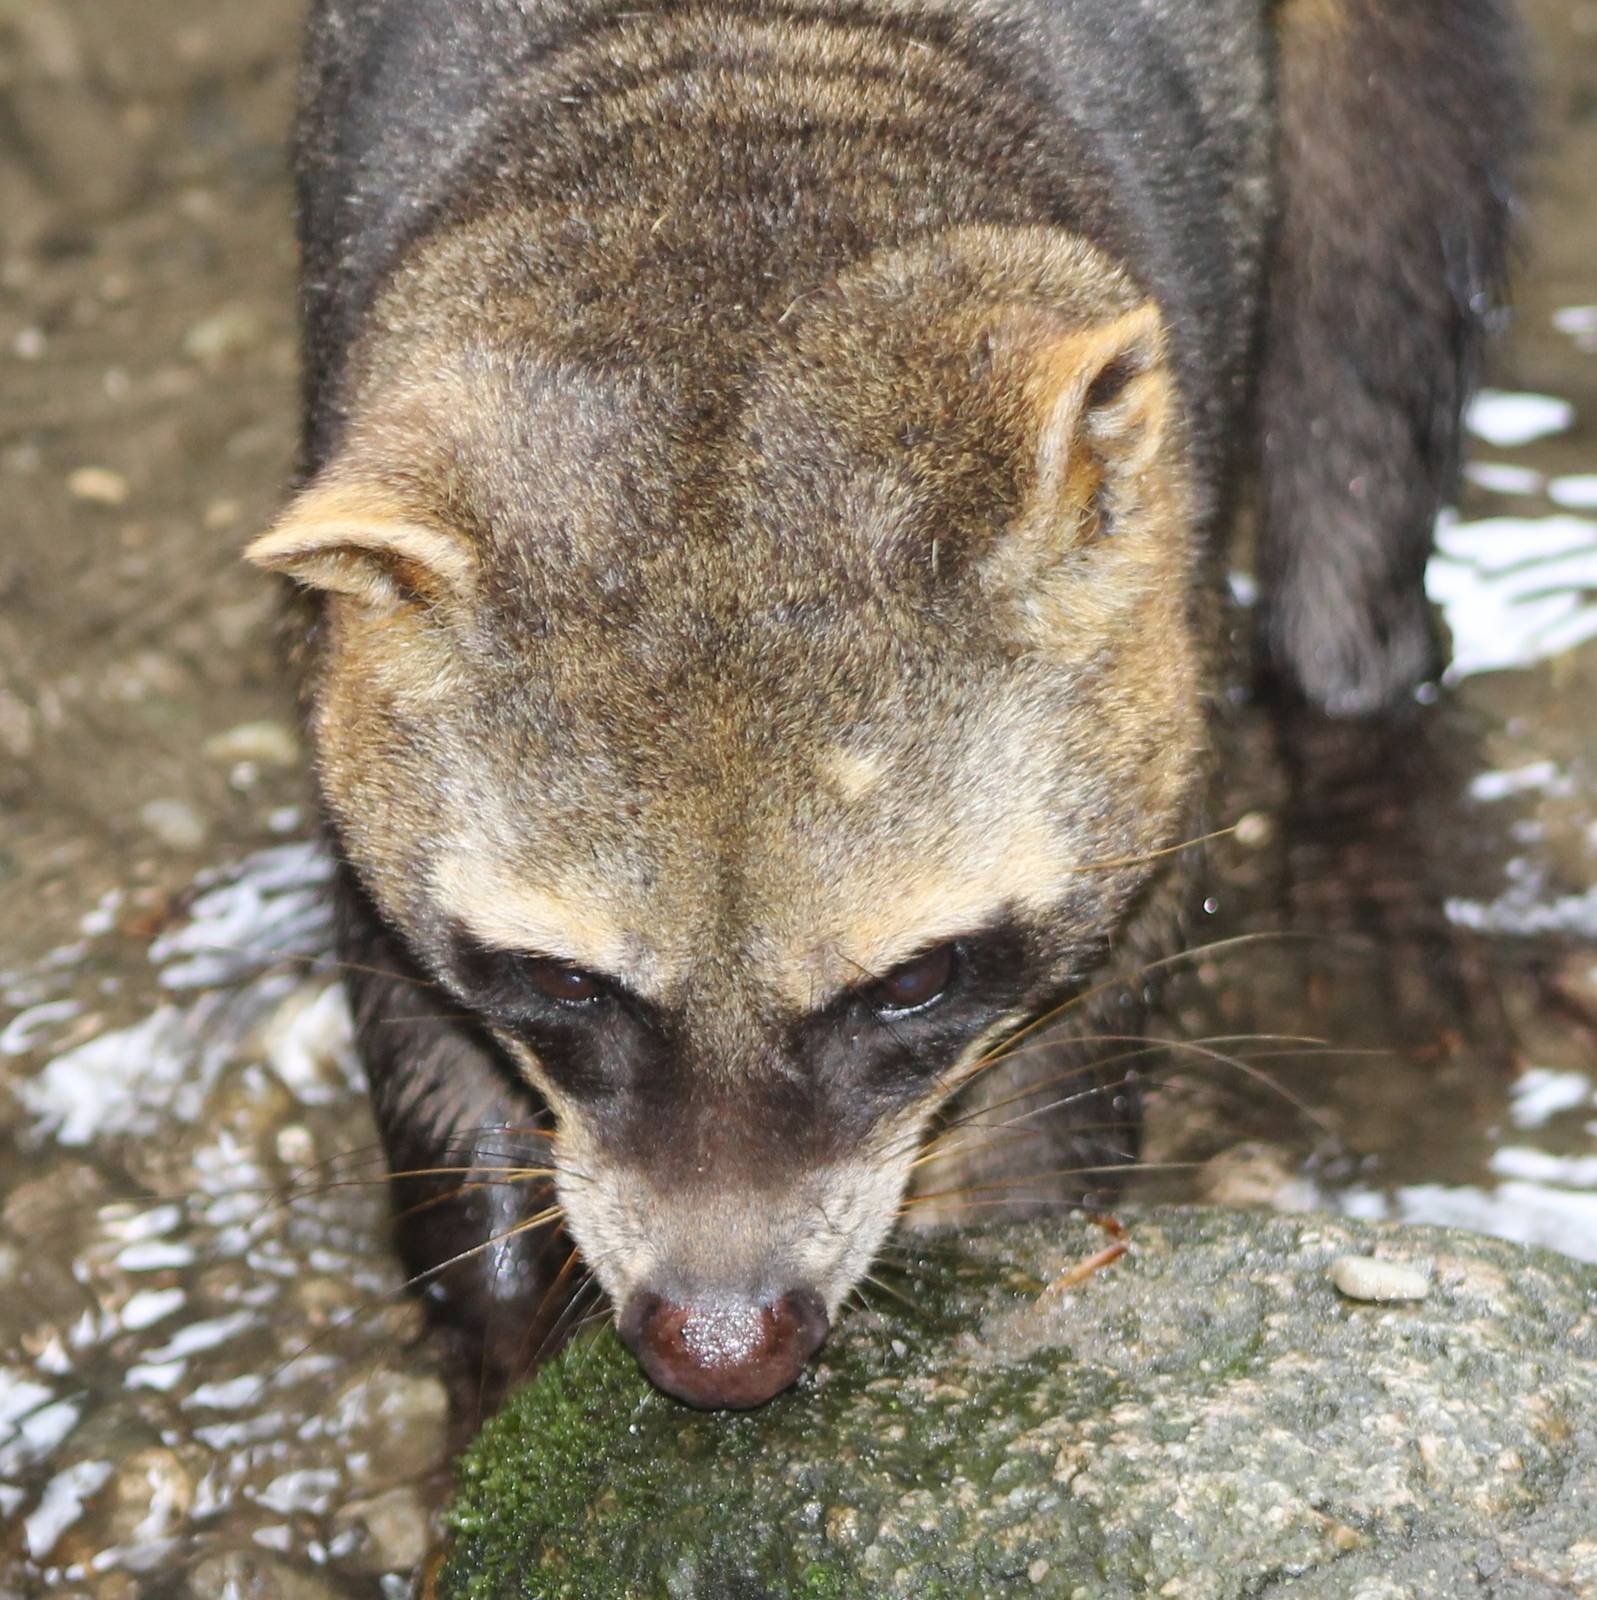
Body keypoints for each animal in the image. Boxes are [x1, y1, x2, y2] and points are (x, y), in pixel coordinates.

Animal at [250, 0, 1526, 1408]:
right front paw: (496, 1316)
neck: (744, 131)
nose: (718, 1348)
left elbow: (1069, 1052)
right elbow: (405, 983)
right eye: (567, 982)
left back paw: (1357, 702)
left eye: (912, 981)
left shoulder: (1143, 688)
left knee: (1376, 291)